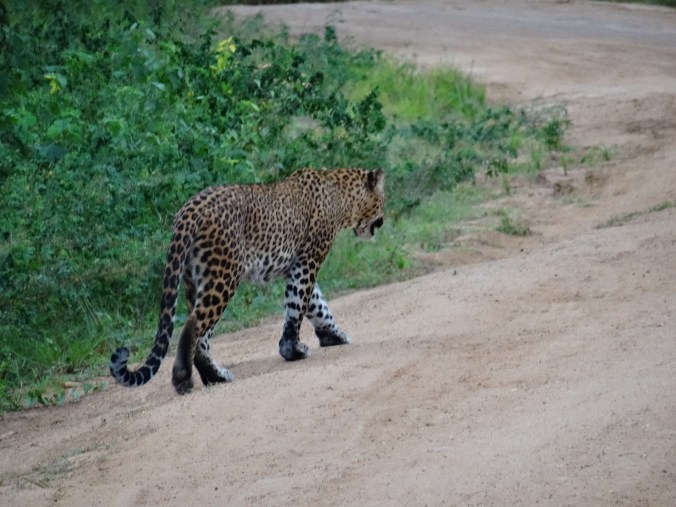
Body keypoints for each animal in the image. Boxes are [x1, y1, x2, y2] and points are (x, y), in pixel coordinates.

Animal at [110, 167, 385, 394]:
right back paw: (184, 379)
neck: (341, 197)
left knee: (202, 335)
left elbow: (317, 305)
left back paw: (216, 376)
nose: (383, 221)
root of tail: (188, 210)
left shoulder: (295, 266)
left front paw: (332, 335)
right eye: (383, 200)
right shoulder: (308, 261)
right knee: (194, 324)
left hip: (195, 279)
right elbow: (298, 305)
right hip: (224, 274)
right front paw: (294, 350)